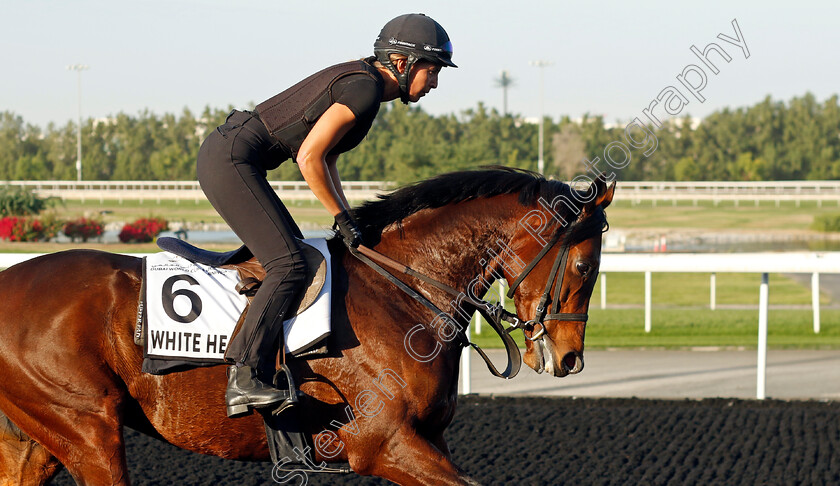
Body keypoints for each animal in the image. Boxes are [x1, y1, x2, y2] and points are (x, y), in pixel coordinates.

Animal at [0, 168, 612, 486]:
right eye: (585, 266)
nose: (569, 358)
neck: (401, 288)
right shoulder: (381, 442)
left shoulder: (424, 439)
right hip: (86, 428)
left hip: (41, 439)